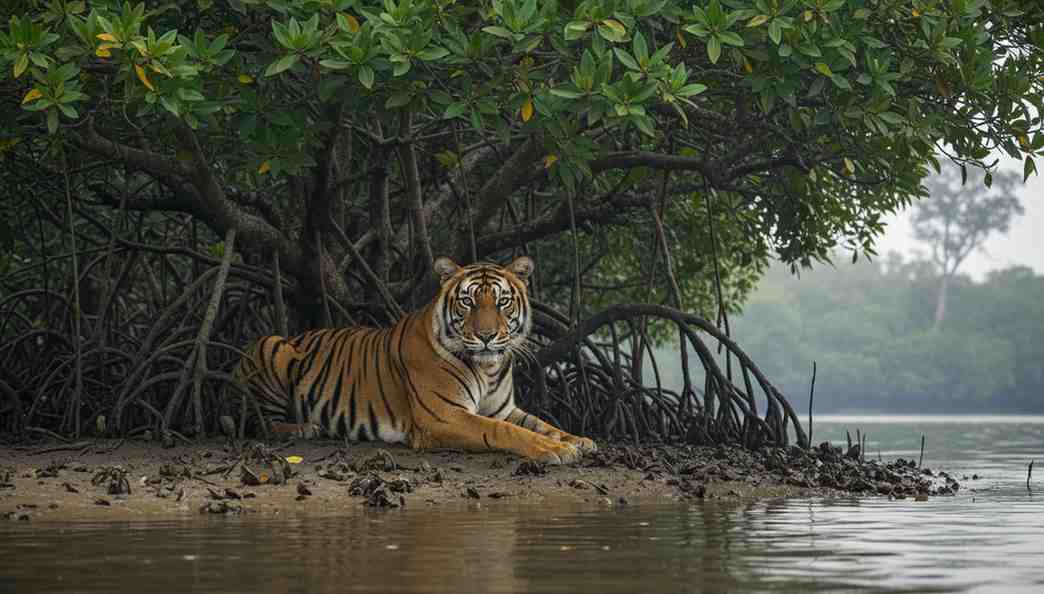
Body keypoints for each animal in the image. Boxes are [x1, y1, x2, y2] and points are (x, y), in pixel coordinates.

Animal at [225, 256, 596, 464]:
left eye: (502, 302)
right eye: (468, 302)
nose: (487, 336)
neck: (488, 368)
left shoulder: (503, 409)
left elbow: (543, 424)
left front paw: (579, 441)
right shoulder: (444, 416)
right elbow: (503, 431)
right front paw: (554, 450)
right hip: (272, 346)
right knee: (262, 424)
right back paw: (306, 428)